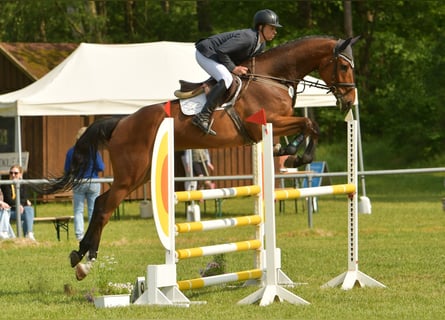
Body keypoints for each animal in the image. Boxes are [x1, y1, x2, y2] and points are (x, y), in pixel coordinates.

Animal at [43, 35, 360, 280]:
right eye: (344, 66)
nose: (350, 101)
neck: (272, 79)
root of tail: (122, 122)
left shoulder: (273, 125)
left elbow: (308, 125)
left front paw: (289, 152)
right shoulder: (267, 122)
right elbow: (309, 124)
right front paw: (296, 156)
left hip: (140, 174)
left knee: (100, 203)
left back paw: (80, 255)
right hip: (130, 174)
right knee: (105, 207)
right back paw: (86, 261)